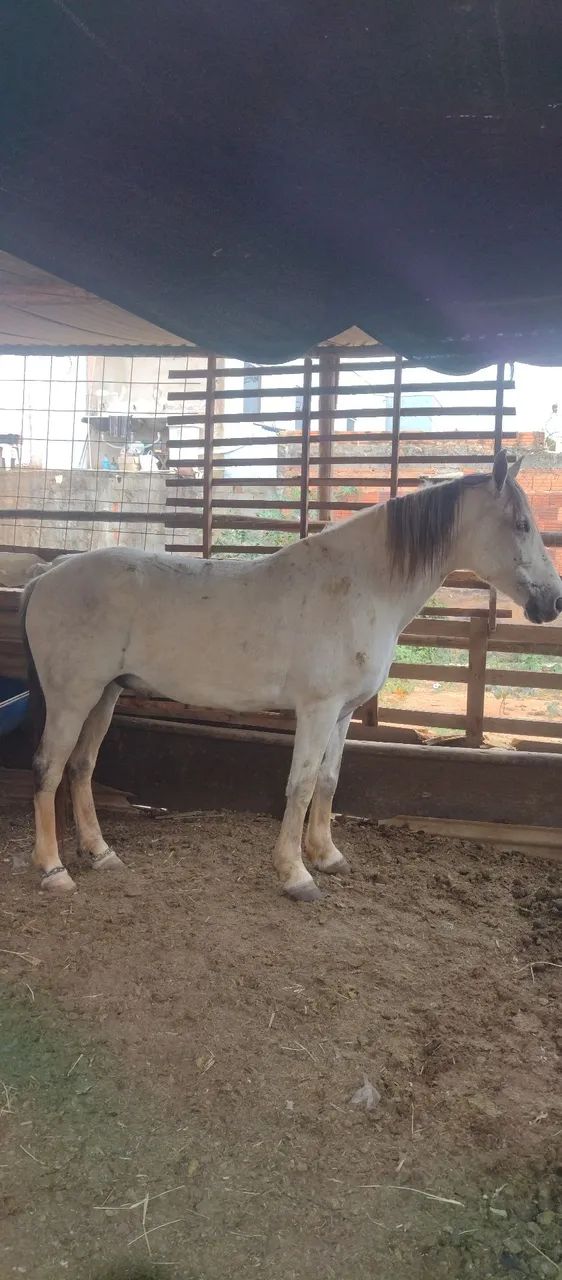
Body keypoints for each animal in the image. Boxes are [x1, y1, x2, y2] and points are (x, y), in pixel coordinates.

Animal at [21, 451, 562, 899]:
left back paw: (100, 854)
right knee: (49, 768)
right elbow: (300, 785)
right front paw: (296, 874)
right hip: (73, 697)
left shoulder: (342, 714)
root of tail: (48, 576)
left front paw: (326, 856)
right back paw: (53, 870)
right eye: (520, 523)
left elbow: (328, 780)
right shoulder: (317, 710)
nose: (553, 602)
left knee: (81, 766)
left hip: (105, 695)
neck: (360, 586)